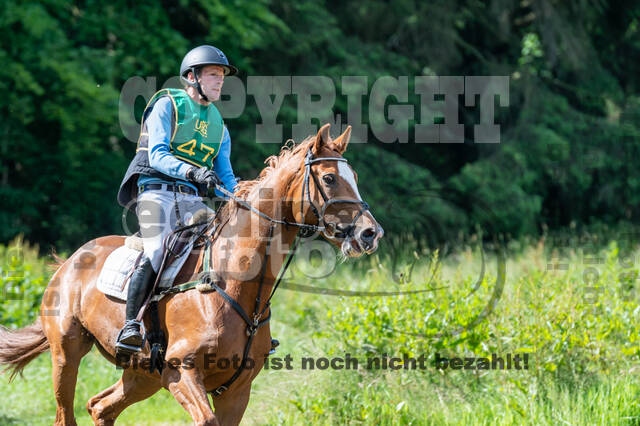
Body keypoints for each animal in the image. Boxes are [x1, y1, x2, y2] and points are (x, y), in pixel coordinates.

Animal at [0, 123, 383, 425]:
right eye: (330, 178)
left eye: (355, 179)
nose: (370, 233)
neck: (236, 286)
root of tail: (68, 262)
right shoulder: (181, 370)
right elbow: (205, 419)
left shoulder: (236, 390)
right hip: (67, 354)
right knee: (67, 412)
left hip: (142, 374)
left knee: (100, 407)